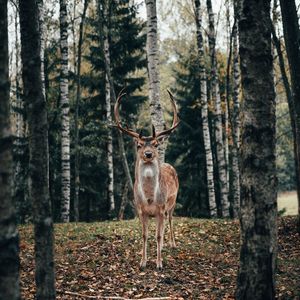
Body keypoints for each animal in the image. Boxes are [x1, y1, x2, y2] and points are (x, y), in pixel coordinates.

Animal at [113, 89, 179, 270]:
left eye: (156, 144)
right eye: (139, 145)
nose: (148, 154)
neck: (149, 197)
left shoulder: (160, 209)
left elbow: (157, 235)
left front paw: (159, 263)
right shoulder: (141, 210)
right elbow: (144, 235)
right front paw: (142, 262)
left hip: (172, 203)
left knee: (170, 220)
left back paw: (171, 244)